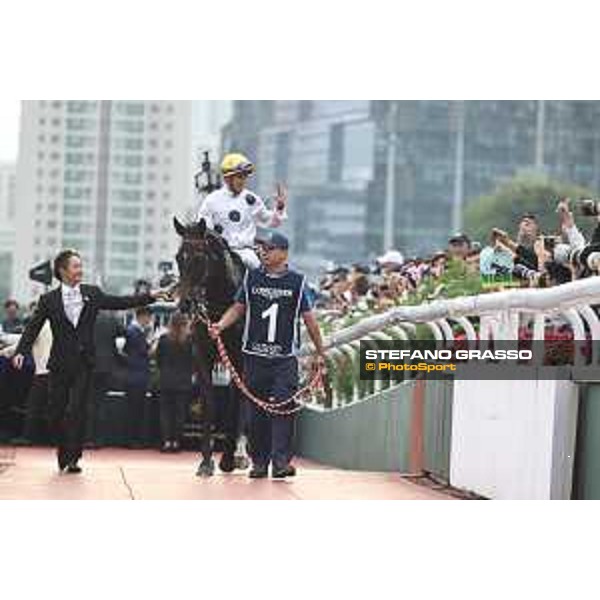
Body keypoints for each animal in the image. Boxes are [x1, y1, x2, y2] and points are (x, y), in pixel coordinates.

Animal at [173, 218, 246, 476]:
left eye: (199, 258)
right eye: (179, 257)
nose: (185, 304)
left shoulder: (238, 359)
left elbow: (236, 401)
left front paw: (228, 458)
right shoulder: (201, 354)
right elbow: (208, 401)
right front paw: (206, 461)